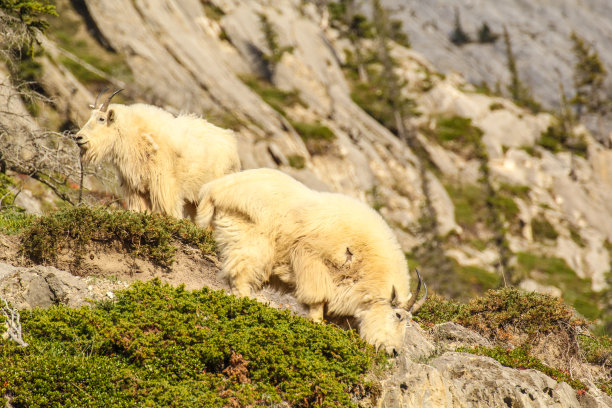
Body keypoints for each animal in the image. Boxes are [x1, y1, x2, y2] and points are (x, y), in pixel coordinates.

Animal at [75, 89, 240, 220]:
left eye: (101, 119)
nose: (79, 138)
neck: (135, 136)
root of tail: (232, 142)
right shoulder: (136, 189)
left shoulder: (164, 187)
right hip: (194, 200)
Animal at [196, 167, 426, 352]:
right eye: (398, 315)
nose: (393, 351)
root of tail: (214, 189)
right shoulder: (312, 259)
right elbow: (317, 299)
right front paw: (318, 326)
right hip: (252, 239)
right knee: (241, 275)